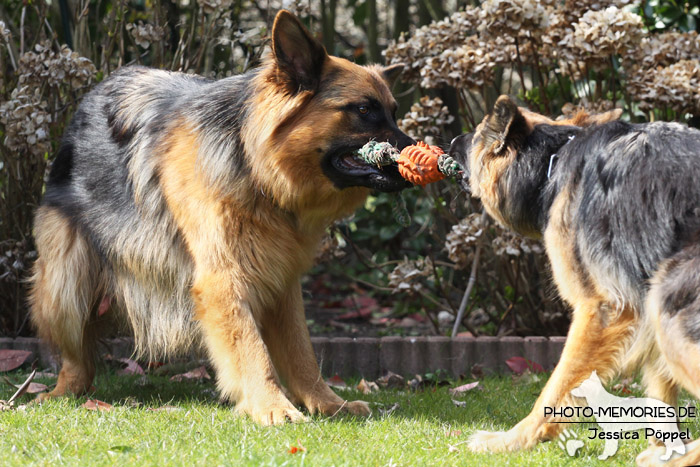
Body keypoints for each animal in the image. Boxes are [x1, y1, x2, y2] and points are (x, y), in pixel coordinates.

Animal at [32, 10, 412, 428]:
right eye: (363, 110)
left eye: (394, 111)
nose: (418, 152)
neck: (254, 164)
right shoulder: (223, 280)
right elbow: (252, 349)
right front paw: (272, 407)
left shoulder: (281, 281)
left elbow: (302, 353)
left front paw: (328, 404)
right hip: (66, 282)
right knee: (76, 356)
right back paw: (62, 393)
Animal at [448, 94, 700, 464]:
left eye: (479, 134)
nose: (452, 140)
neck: (552, 162)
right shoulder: (638, 293)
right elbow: (660, 392)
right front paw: (665, 447)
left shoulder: (601, 308)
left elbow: (556, 388)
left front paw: (513, 440)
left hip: (669, 304)